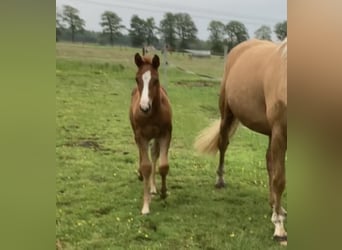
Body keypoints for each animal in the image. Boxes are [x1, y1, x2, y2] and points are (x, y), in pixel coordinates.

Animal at [130, 52, 172, 215]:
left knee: (154, 155)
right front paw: (146, 205)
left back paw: (153, 187)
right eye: (137, 79)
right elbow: (146, 166)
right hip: (138, 135)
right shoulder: (141, 136)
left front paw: (163, 193)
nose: (144, 107)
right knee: (143, 156)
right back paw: (142, 177)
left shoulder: (165, 134)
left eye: (156, 80)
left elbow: (163, 165)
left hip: (155, 137)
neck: (152, 114)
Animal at [194, 38, 288, 244]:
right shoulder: (280, 131)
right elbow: (279, 179)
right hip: (227, 113)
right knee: (223, 144)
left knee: (269, 162)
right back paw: (220, 181)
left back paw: (274, 206)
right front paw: (279, 229)